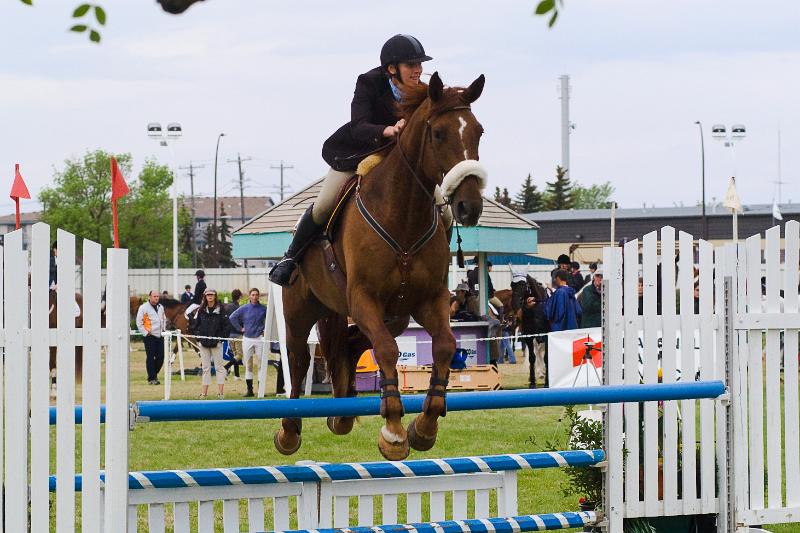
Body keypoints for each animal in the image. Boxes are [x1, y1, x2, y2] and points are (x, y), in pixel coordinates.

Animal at [276, 72, 488, 460]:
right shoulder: (363, 299)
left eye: (478, 132)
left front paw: (425, 426)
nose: (469, 207)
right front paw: (393, 431)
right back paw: (289, 430)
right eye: (439, 134)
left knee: (350, 344)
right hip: (300, 311)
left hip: (395, 315)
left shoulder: (430, 300)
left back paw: (342, 415)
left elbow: (445, 346)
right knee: (298, 360)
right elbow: (388, 350)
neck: (403, 214)